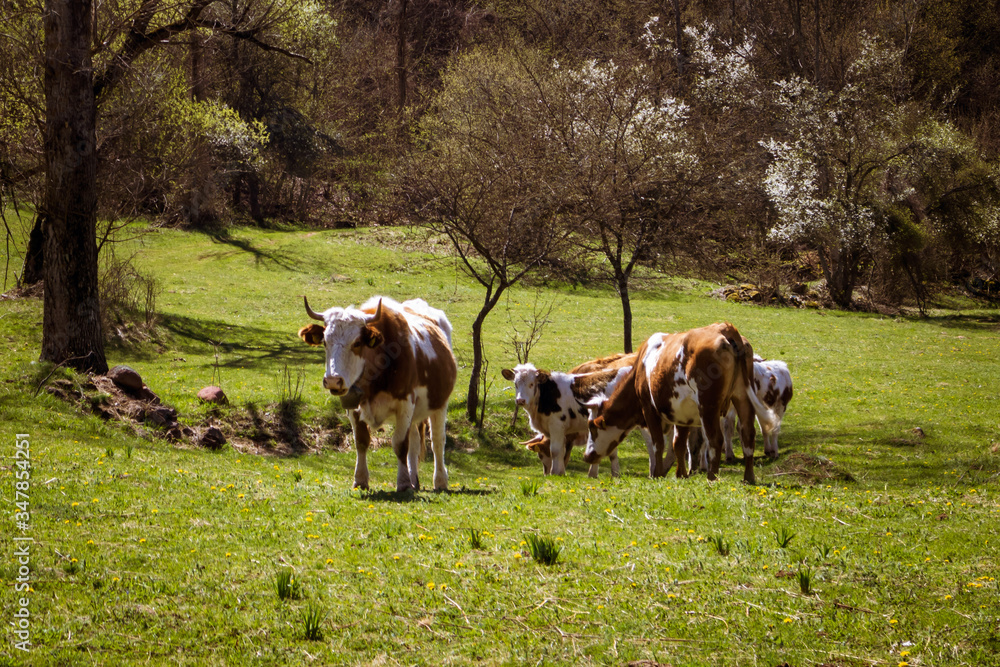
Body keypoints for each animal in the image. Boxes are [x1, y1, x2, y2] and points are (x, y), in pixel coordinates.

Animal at [294, 296, 456, 490]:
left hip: (439, 403)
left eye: (357, 343)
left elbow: (400, 444)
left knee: (437, 441)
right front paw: (361, 479)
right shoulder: (353, 405)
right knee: (415, 441)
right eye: (325, 342)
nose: (333, 380)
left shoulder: (405, 403)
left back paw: (440, 481)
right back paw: (414, 480)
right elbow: (361, 441)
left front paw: (403, 483)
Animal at [584, 322, 760, 482]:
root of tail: (725, 328)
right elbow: (678, 444)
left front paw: (656, 474)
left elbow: (658, 444)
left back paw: (712, 477)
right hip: (742, 398)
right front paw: (680, 475)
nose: (587, 456)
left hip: (708, 406)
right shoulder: (684, 414)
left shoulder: (649, 409)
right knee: (748, 434)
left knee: (715, 439)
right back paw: (748, 478)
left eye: (592, 427)